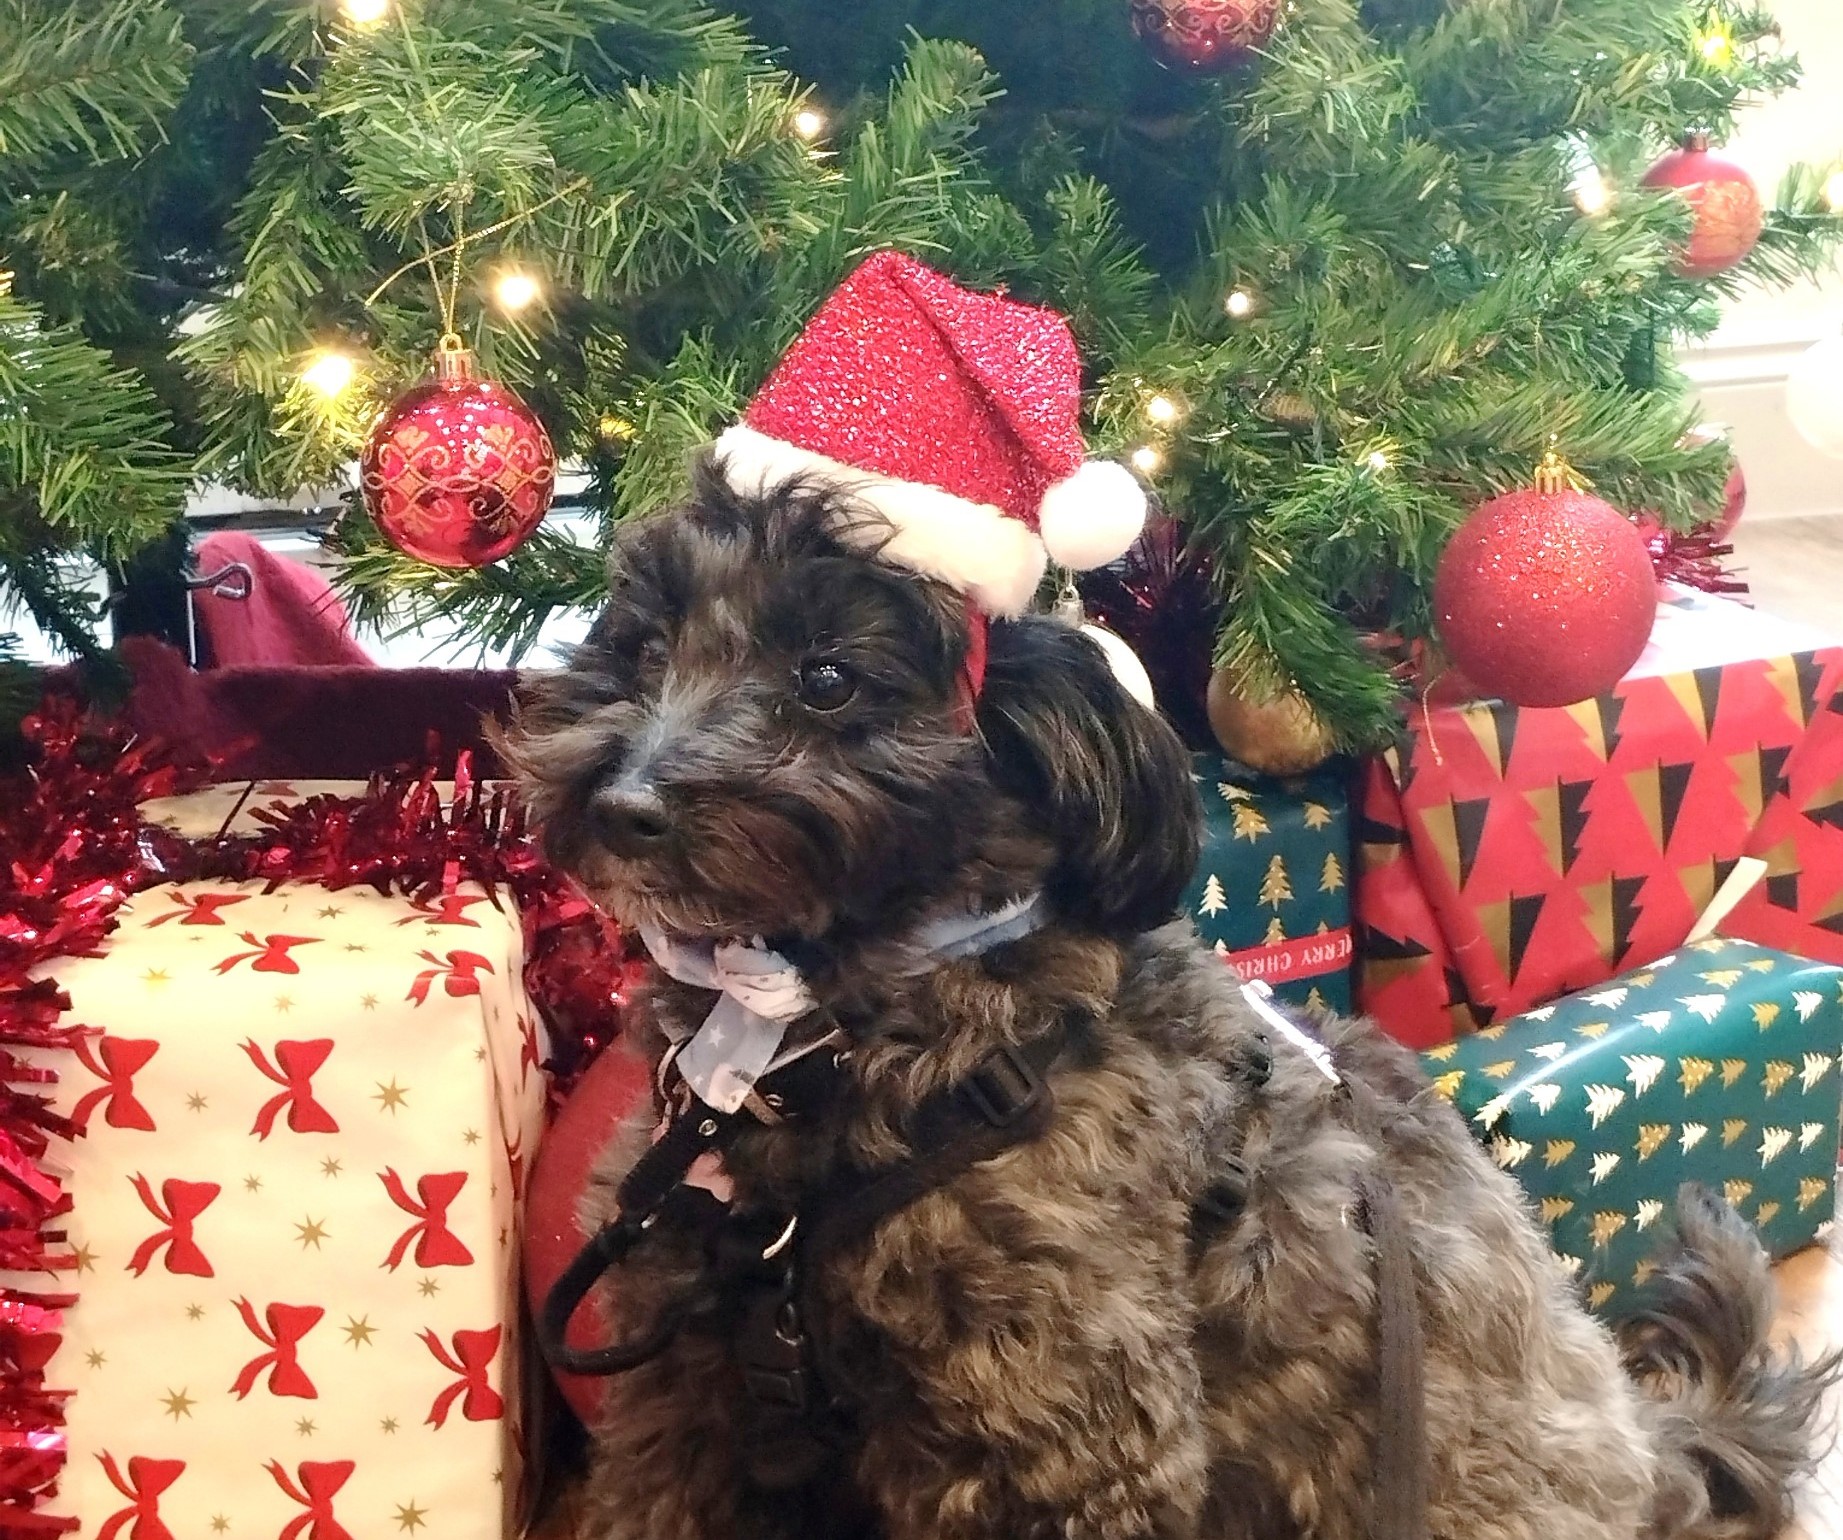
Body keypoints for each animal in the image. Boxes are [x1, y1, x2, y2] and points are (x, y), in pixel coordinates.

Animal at [497, 460, 1835, 1540]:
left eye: (826, 678)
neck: (824, 1039)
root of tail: (1647, 1451)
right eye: (643, 650)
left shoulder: (1055, 1434)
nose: (622, 806)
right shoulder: (695, 1380)